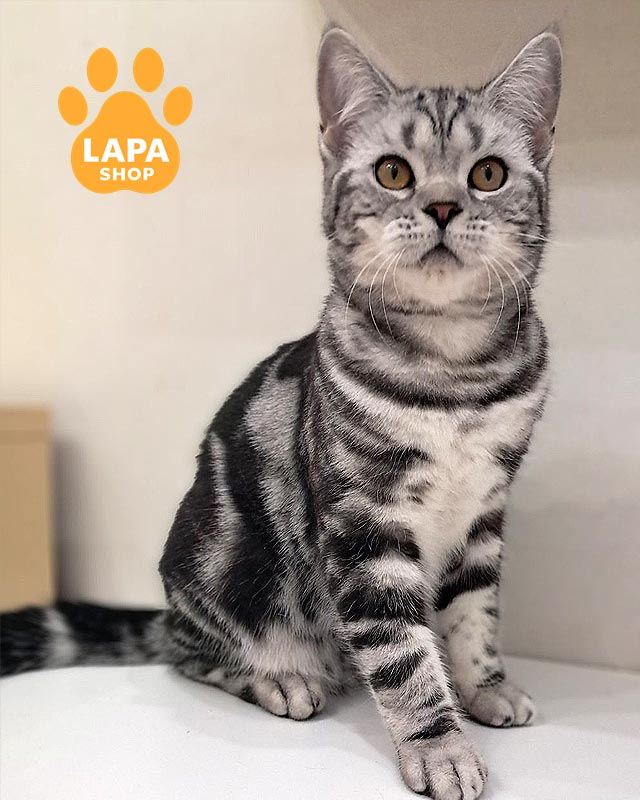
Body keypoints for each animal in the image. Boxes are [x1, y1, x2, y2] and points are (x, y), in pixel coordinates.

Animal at [1, 27, 562, 799]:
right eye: (393, 172)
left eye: (487, 174)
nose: (445, 206)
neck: (455, 373)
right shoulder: (364, 526)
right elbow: (404, 655)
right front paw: (440, 745)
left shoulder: (483, 512)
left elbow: (473, 614)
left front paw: (483, 686)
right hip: (228, 578)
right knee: (193, 655)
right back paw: (282, 680)